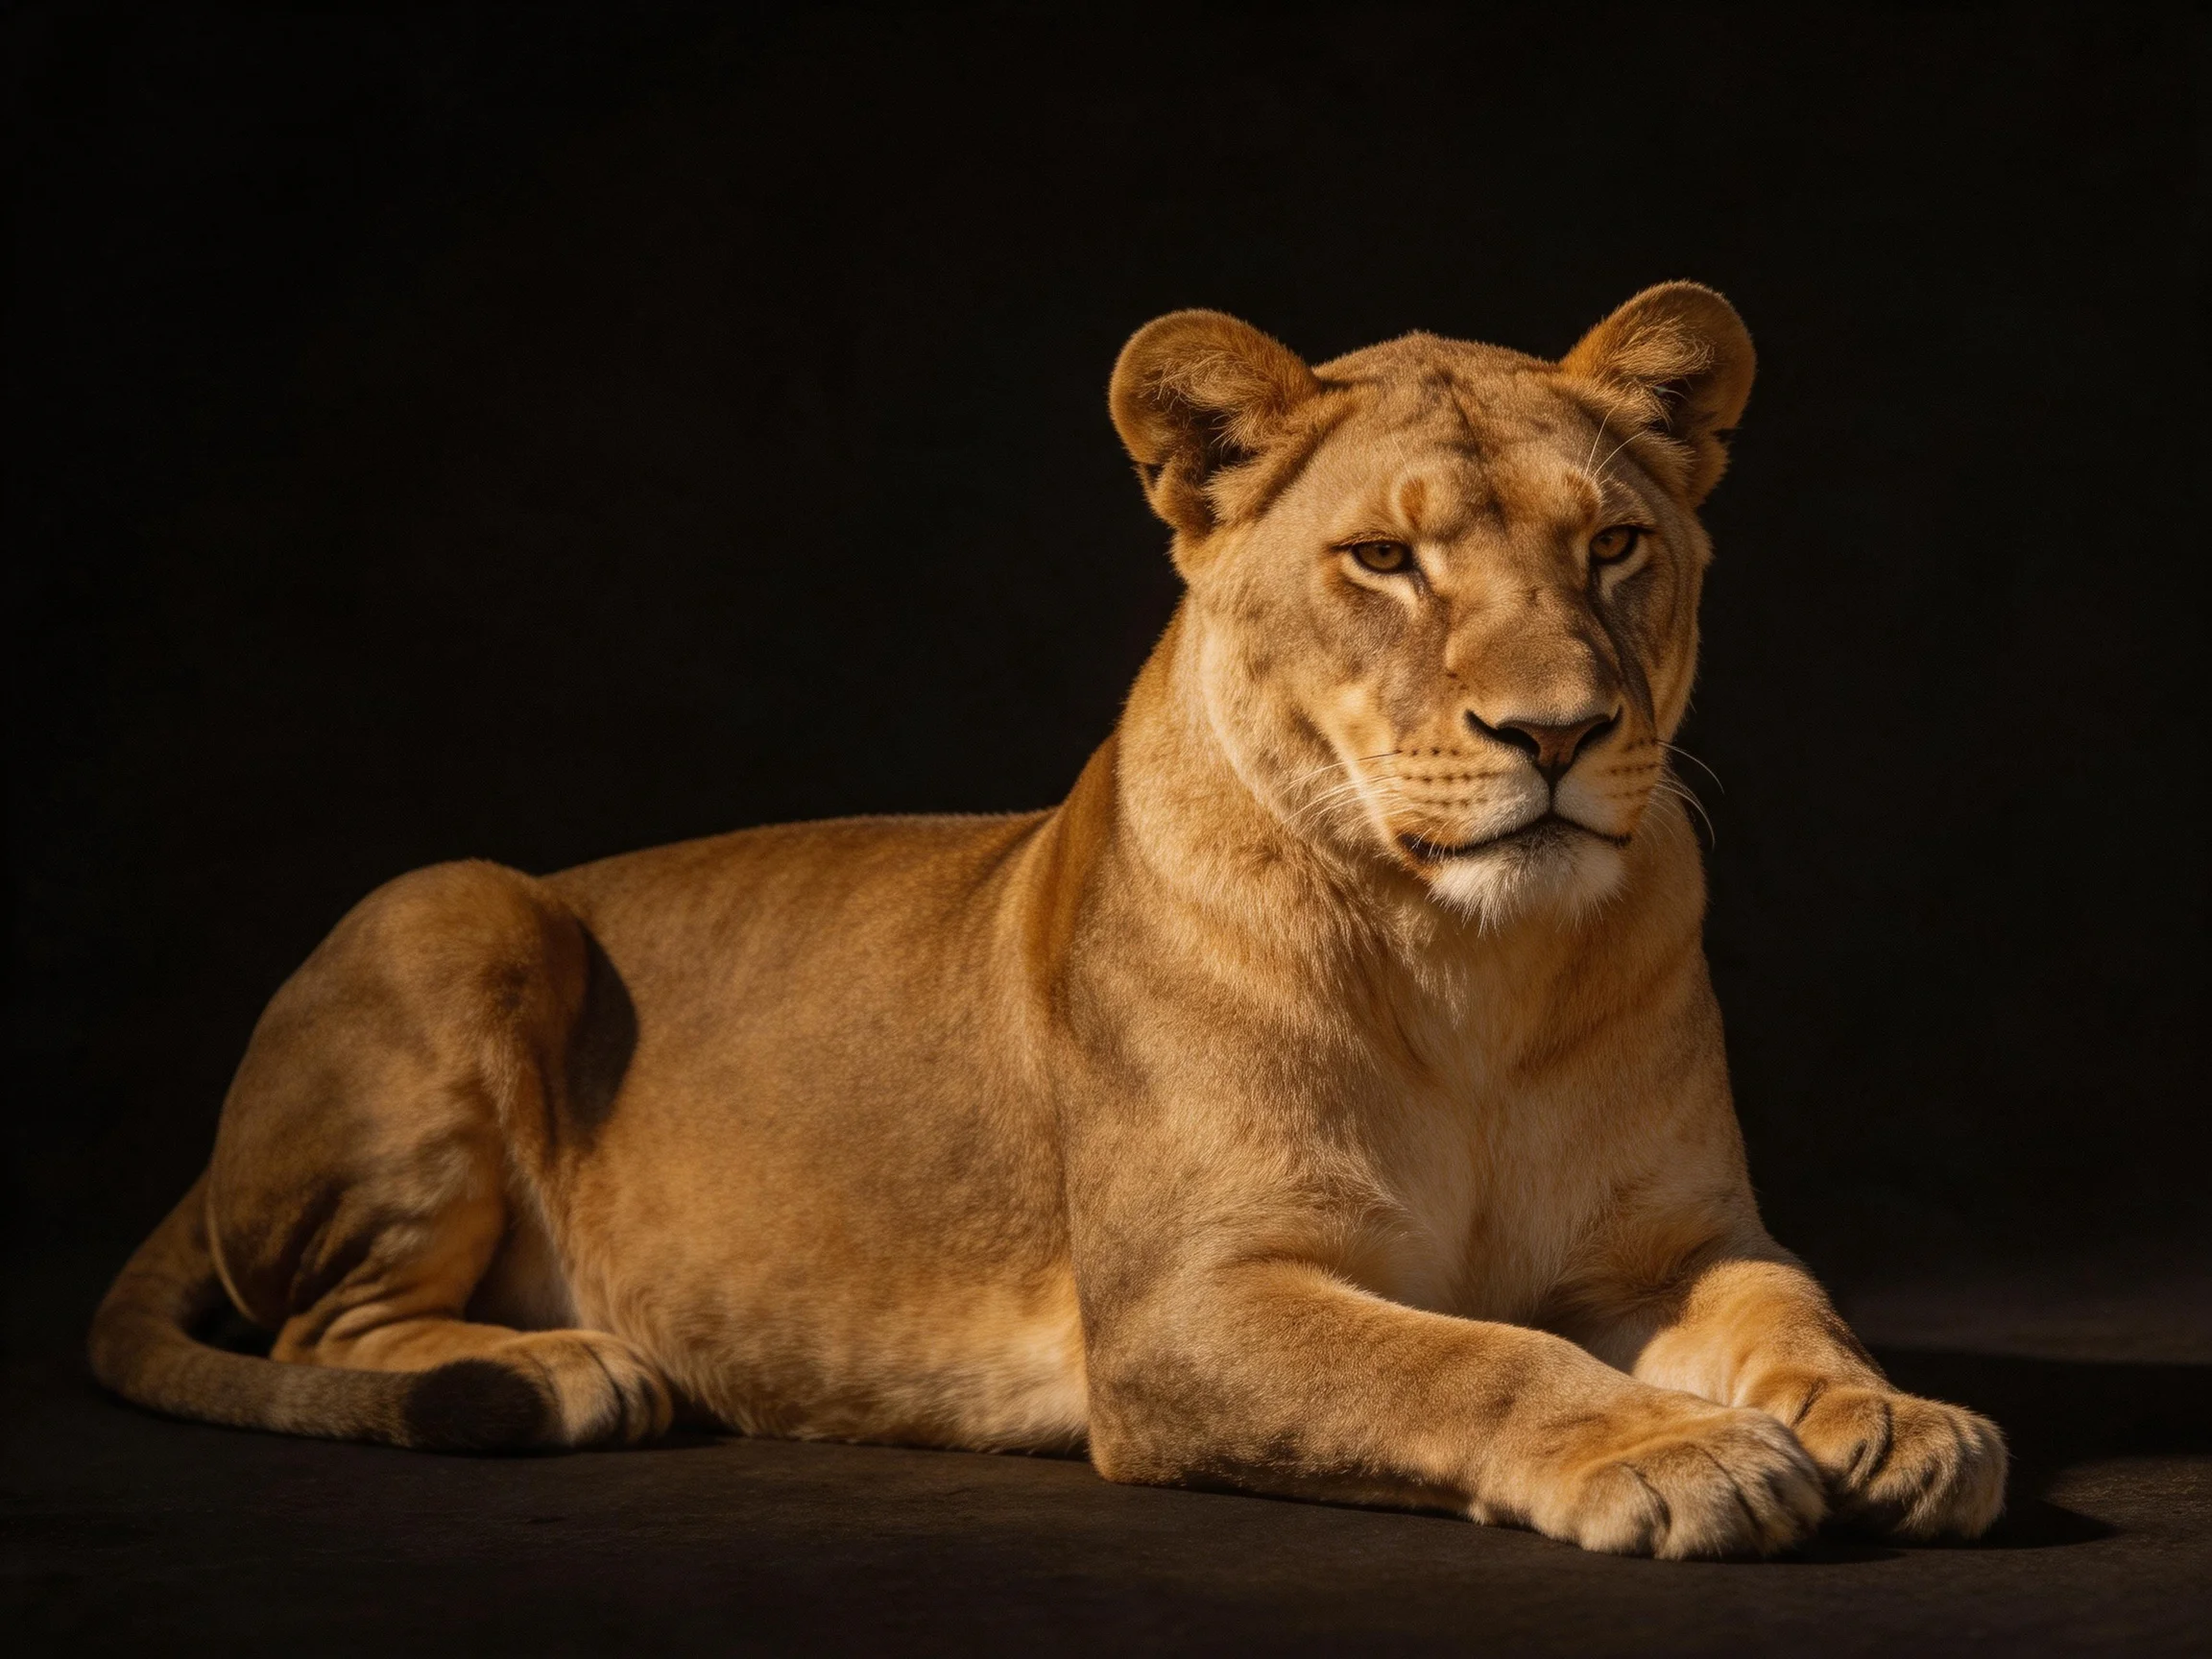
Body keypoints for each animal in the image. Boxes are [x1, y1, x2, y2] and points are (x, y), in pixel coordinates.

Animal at [90, 284, 2006, 1557]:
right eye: (1383, 562)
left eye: (1611, 544)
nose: (1557, 732)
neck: (1473, 966)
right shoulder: (1182, 1312)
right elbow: (1472, 1357)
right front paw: (1674, 1453)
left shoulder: (1675, 1241)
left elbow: (1792, 1313)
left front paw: (1896, 1422)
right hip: (457, 902)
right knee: (322, 1333)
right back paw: (574, 1368)